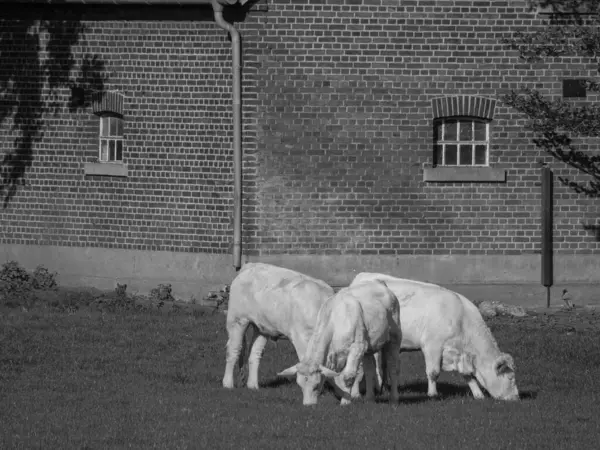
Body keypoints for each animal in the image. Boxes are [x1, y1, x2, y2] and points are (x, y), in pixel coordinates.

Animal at [352, 270, 520, 400]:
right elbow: (433, 372)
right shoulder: (432, 345)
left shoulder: (460, 355)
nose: (517, 398)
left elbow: (468, 376)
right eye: (510, 378)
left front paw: (478, 395)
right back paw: (361, 393)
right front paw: (432, 394)